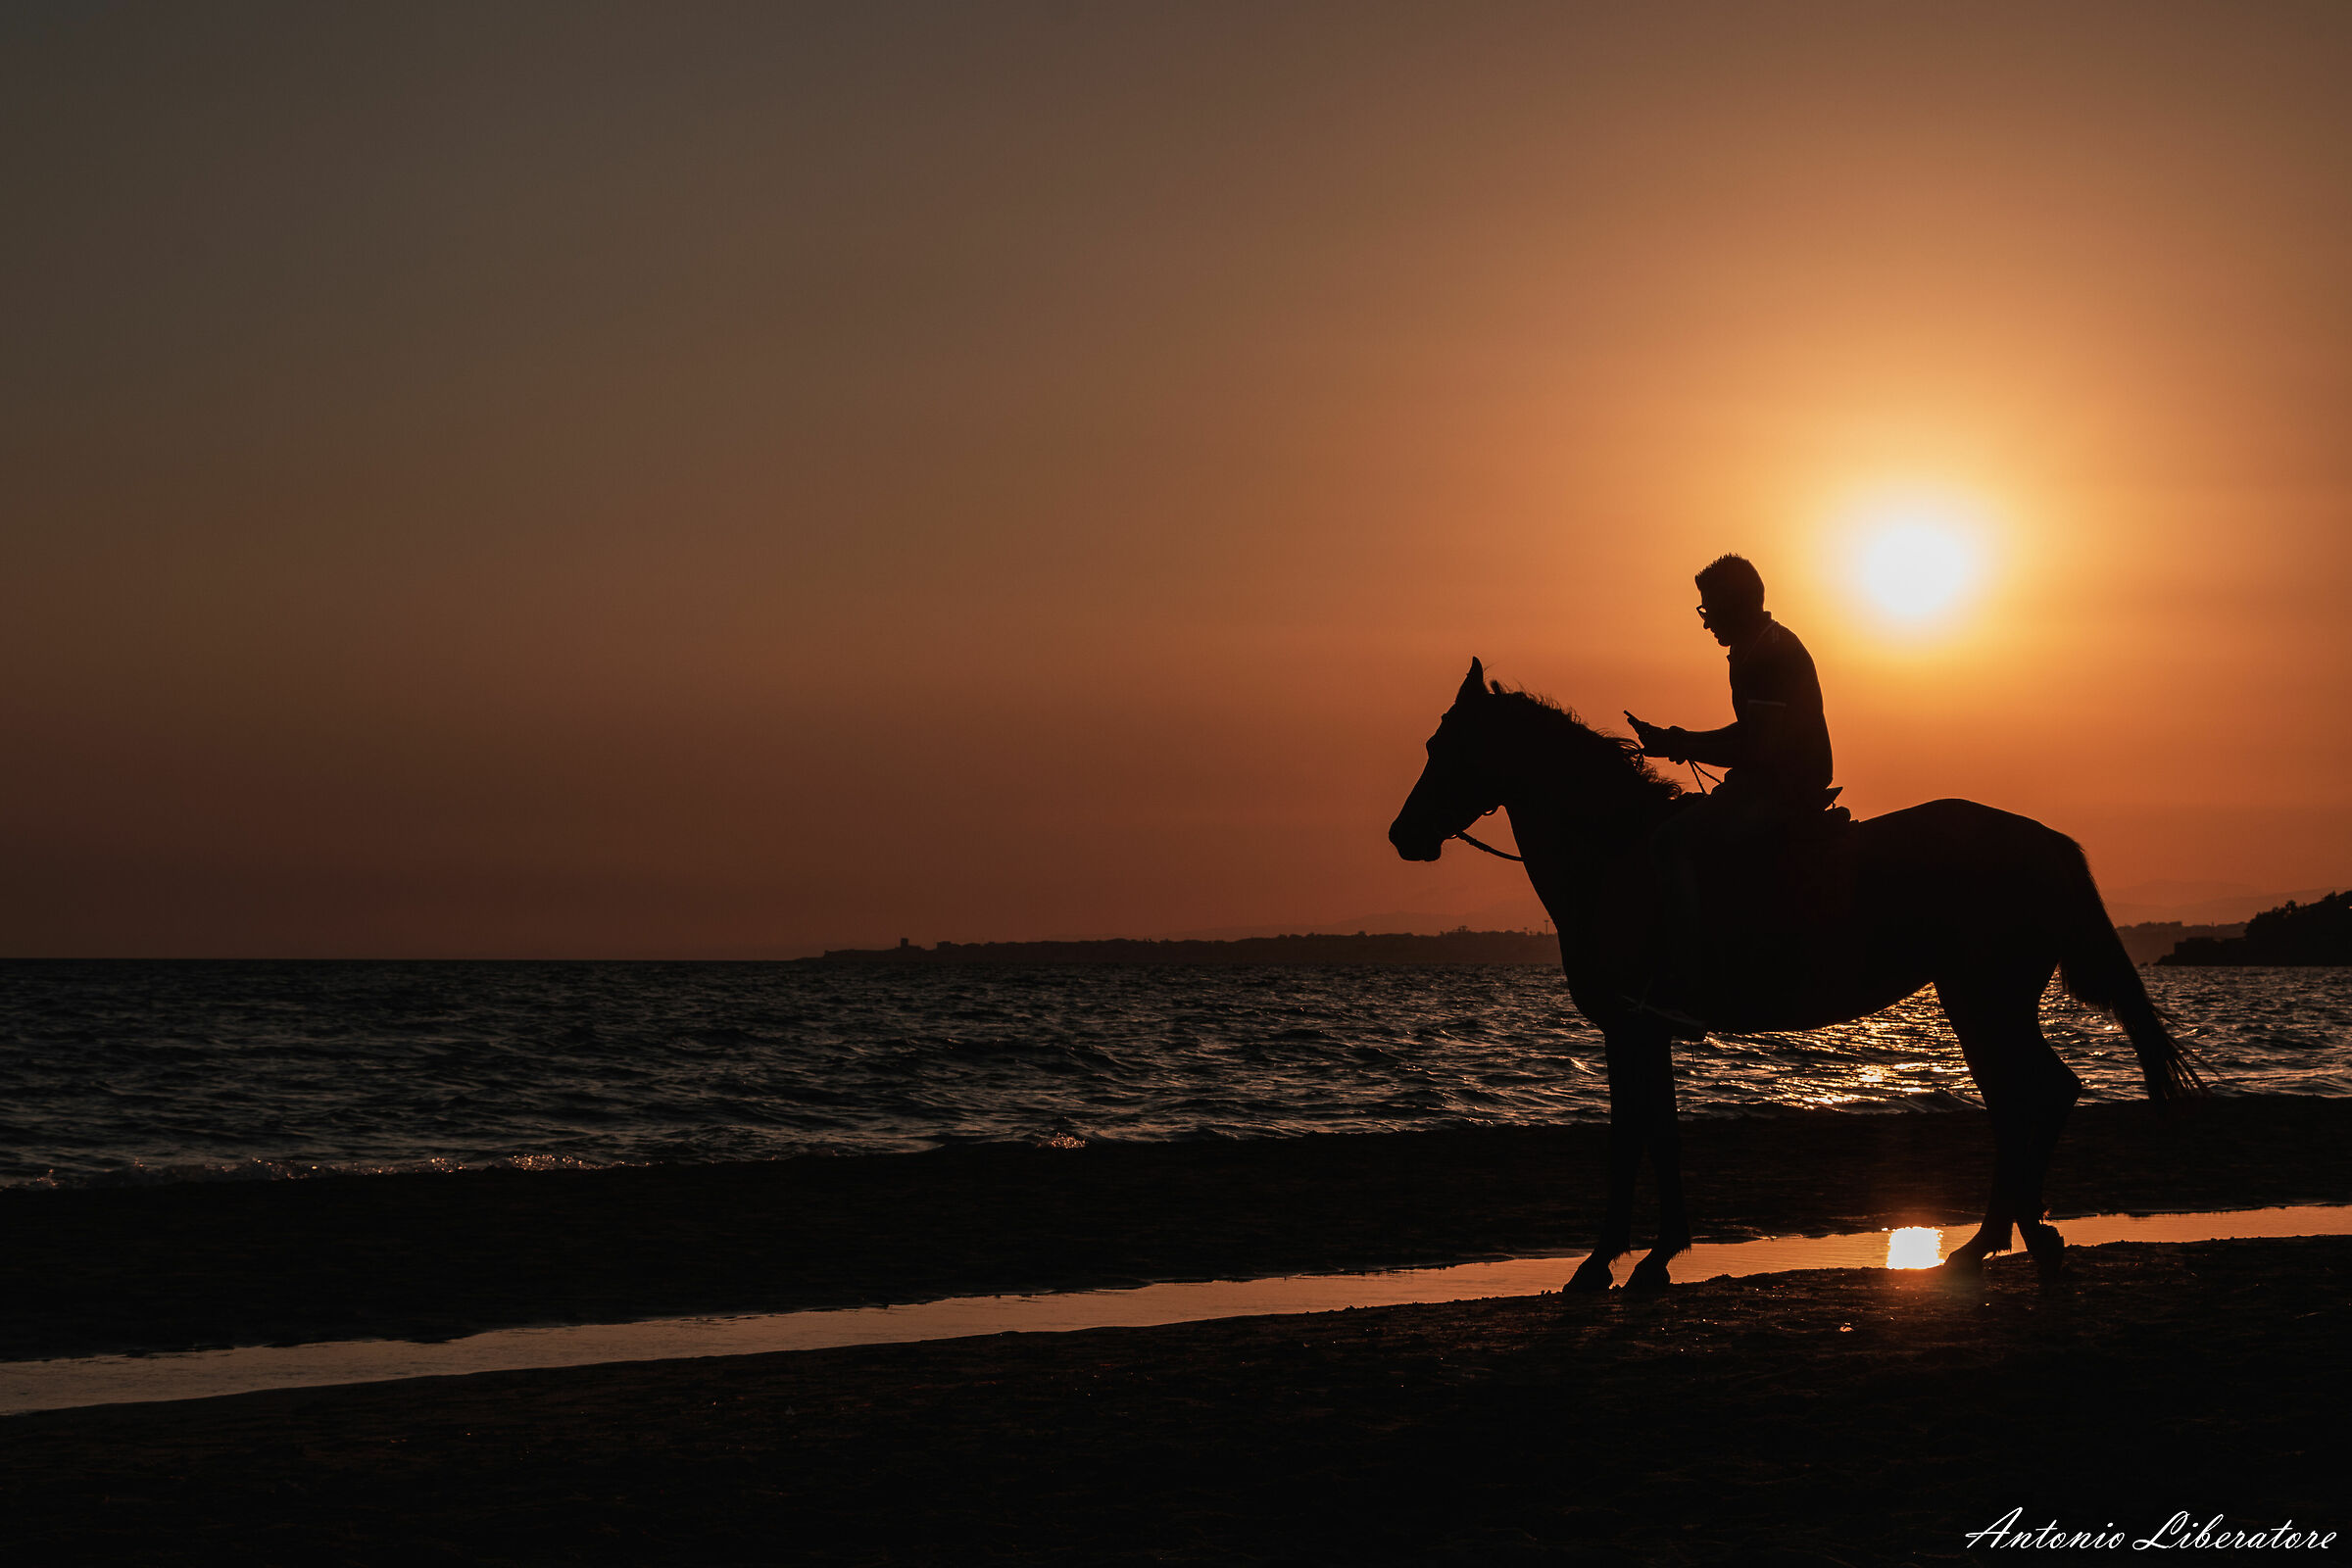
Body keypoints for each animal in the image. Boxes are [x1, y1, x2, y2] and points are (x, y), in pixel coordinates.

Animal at [1387, 658, 2203, 1292]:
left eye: (1441, 744)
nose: (1402, 835)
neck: (1614, 858)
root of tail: (2043, 839)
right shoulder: (1647, 1031)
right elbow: (1662, 1132)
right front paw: (1657, 1255)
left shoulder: (1630, 1024)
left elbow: (1629, 1137)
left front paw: (1601, 1264)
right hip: (1975, 997)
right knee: (2028, 1097)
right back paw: (2004, 1240)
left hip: (1986, 995)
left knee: (2033, 1095)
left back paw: (2008, 1239)